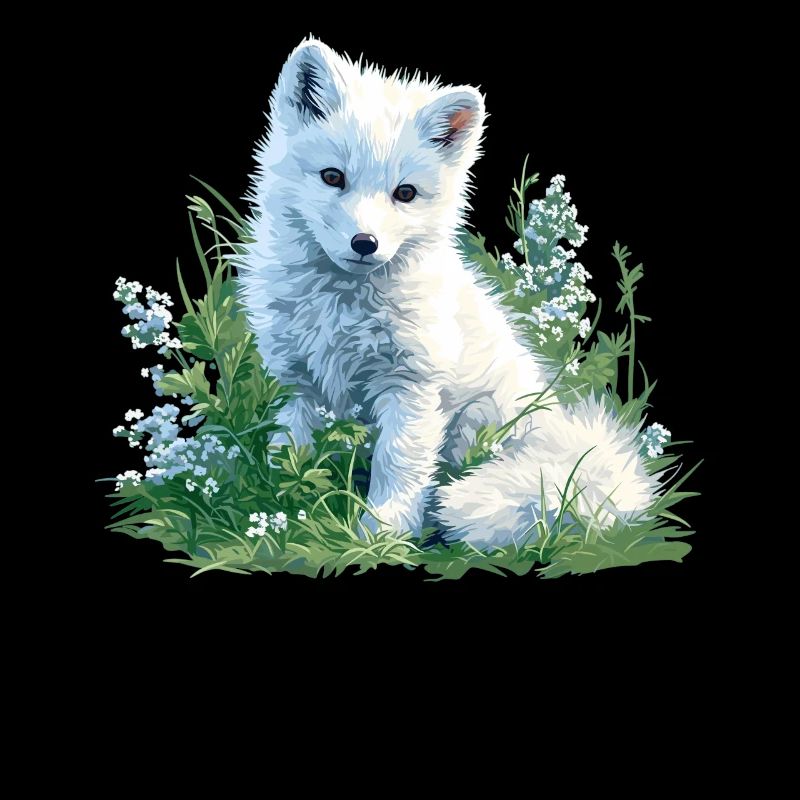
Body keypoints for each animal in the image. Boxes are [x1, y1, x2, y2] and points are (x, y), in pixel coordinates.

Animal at [238, 38, 659, 549]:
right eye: (333, 177)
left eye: (405, 193)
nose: (365, 244)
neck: (342, 309)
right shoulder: (299, 383)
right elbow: (289, 451)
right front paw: (276, 510)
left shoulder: (412, 386)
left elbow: (397, 465)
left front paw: (381, 534)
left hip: (481, 424)